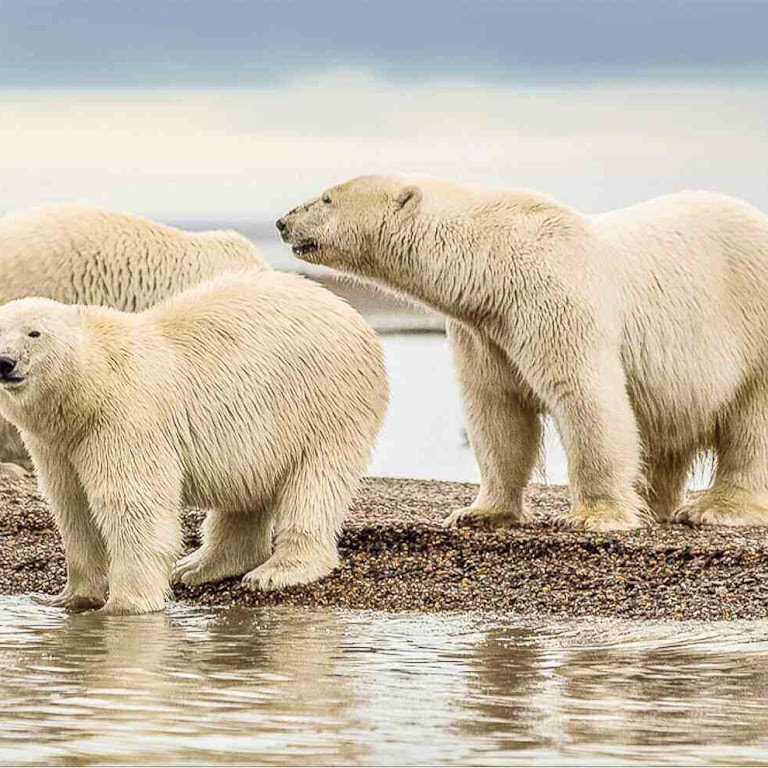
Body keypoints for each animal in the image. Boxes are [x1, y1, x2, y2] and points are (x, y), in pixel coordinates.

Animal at [0, 269, 387, 614]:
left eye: (34, 333)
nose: (5, 362)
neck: (91, 387)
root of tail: (353, 315)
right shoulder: (58, 443)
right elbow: (73, 506)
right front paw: (71, 598)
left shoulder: (125, 419)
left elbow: (133, 505)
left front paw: (126, 605)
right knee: (246, 492)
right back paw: (199, 567)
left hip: (325, 403)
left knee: (315, 484)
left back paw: (276, 571)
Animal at [277, 175, 768, 531]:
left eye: (325, 198)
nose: (282, 222)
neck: (494, 262)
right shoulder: (485, 331)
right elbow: (497, 411)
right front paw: (479, 513)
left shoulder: (553, 302)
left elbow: (586, 397)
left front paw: (593, 516)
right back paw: (652, 501)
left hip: (752, 328)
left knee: (750, 422)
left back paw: (719, 508)